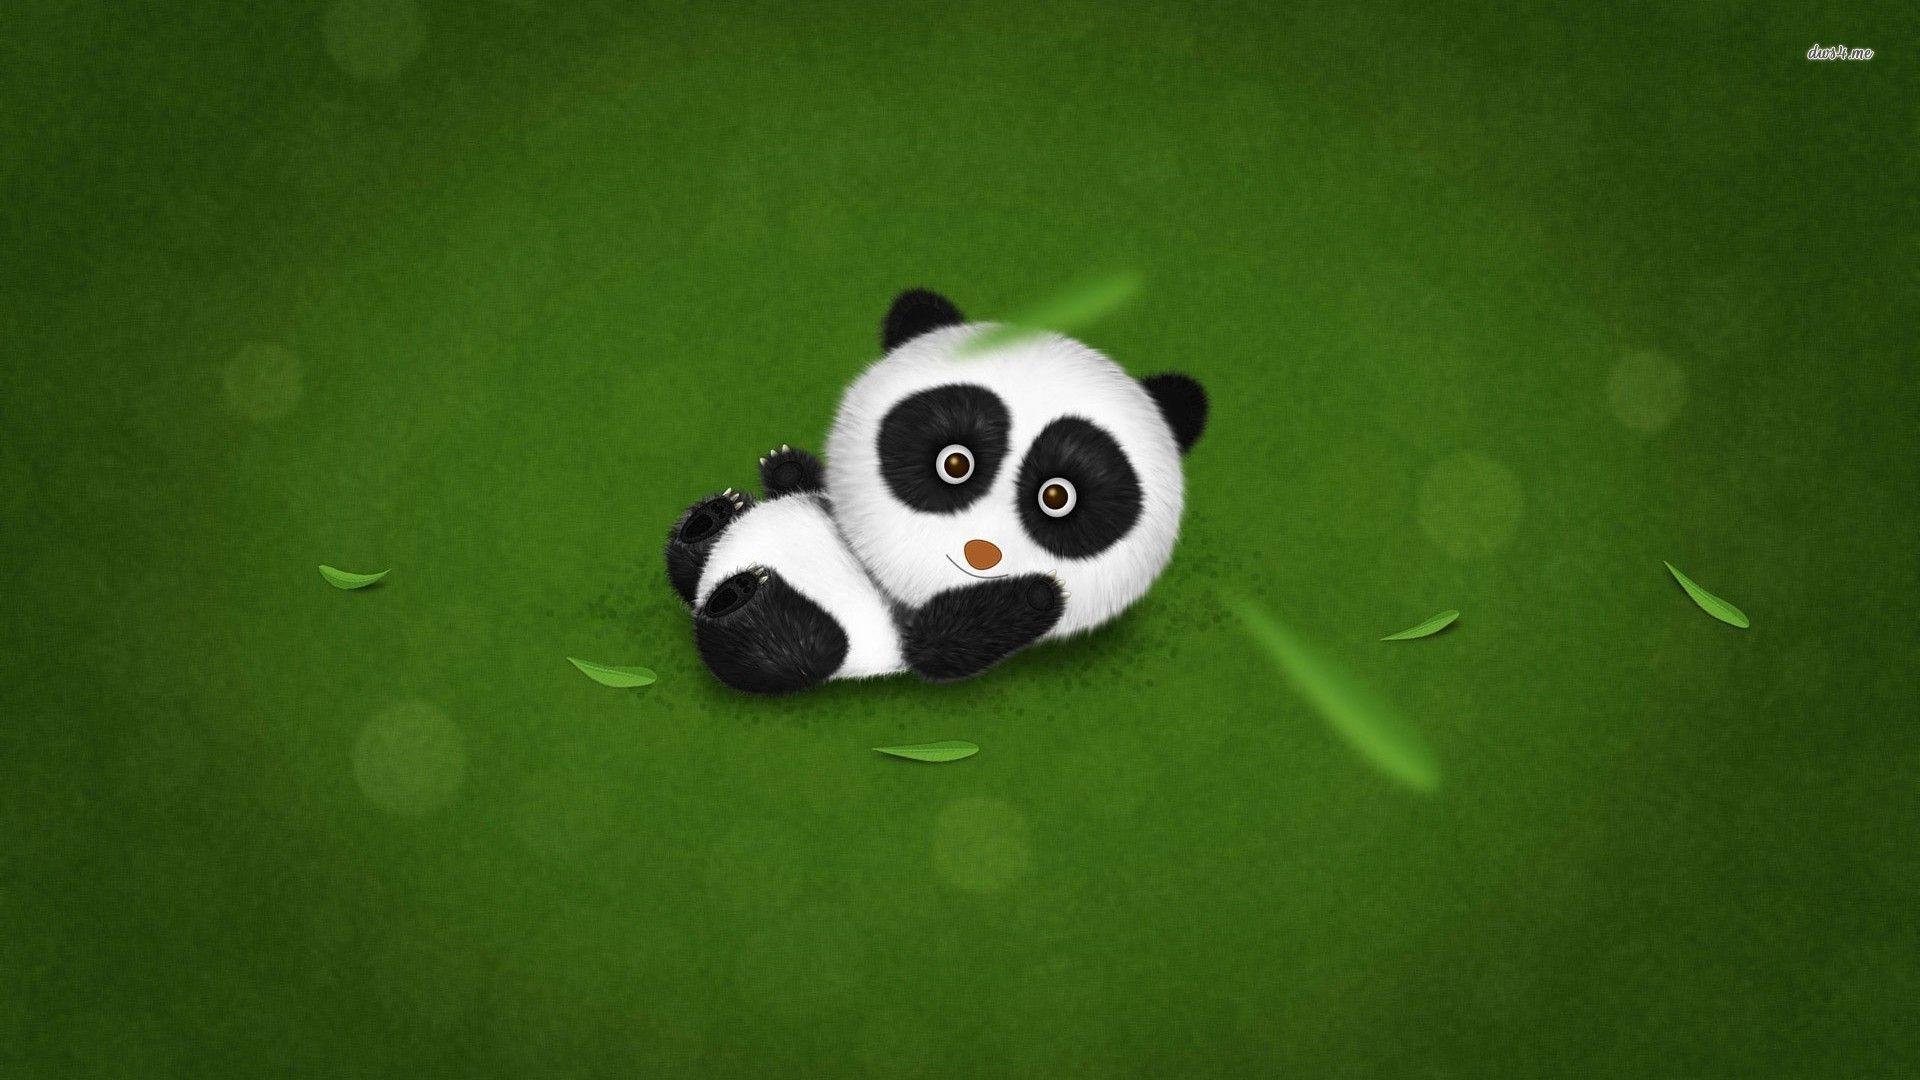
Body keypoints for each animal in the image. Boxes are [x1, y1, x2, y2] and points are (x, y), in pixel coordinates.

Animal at [664, 288, 1207, 694]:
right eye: (955, 463)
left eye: (1058, 496)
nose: (982, 553)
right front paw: (785, 466)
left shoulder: (912, 635)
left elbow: (941, 650)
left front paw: (1037, 592)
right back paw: (716, 518)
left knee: (782, 645)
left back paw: (744, 591)